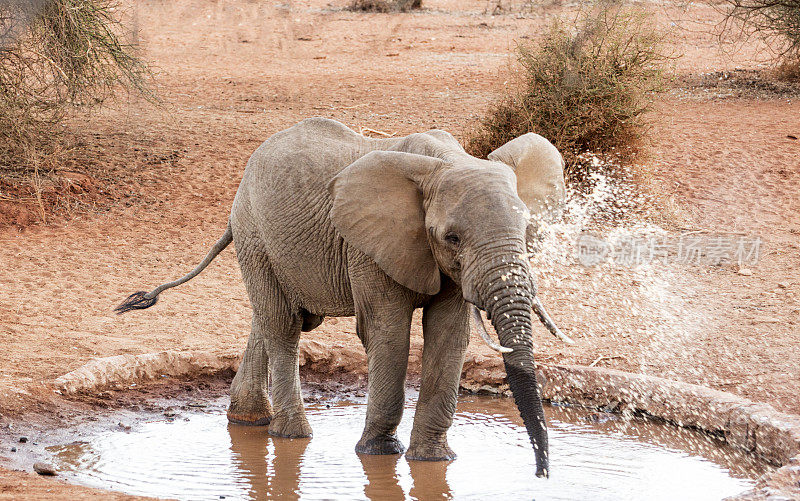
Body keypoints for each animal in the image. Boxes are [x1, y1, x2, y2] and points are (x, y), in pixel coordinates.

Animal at [117, 117, 568, 476]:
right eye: (452, 237)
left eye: (527, 230)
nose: (542, 473)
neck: (447, 161)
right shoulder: (368, 247)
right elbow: (388, 333)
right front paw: (378, 453)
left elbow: (449, 337)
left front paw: (435, 461)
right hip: (254, 233)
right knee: (283, 325)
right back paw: (292, 435)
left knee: (272, 318)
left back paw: (248, 421)